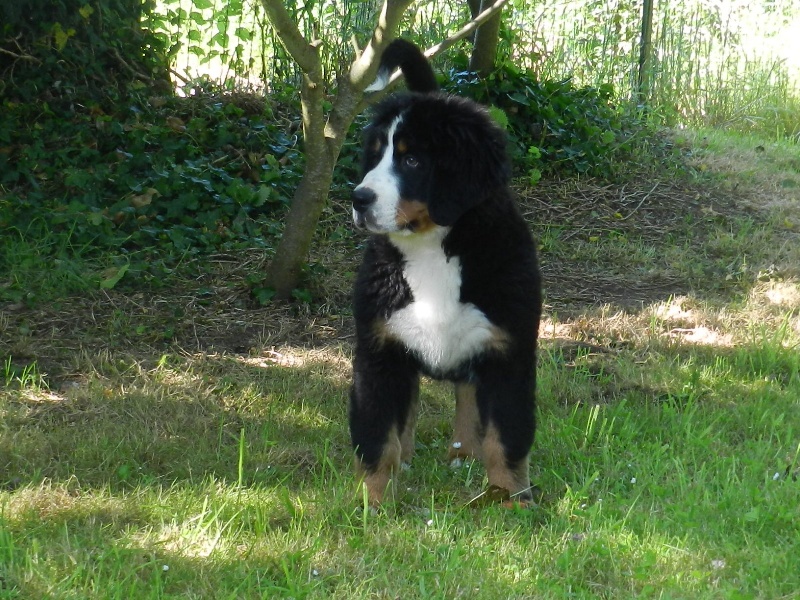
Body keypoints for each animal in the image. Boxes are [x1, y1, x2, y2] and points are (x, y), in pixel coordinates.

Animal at [349, 39, 542, 506]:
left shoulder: (508, 350)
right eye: (375, 155)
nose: (359, 198)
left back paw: (464, 456)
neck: (433, 247)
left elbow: (505, 436)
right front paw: (373, 501)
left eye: (413, 161)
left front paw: (510, 498)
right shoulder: (379, 350)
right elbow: (379, 436)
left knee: (468, 401)